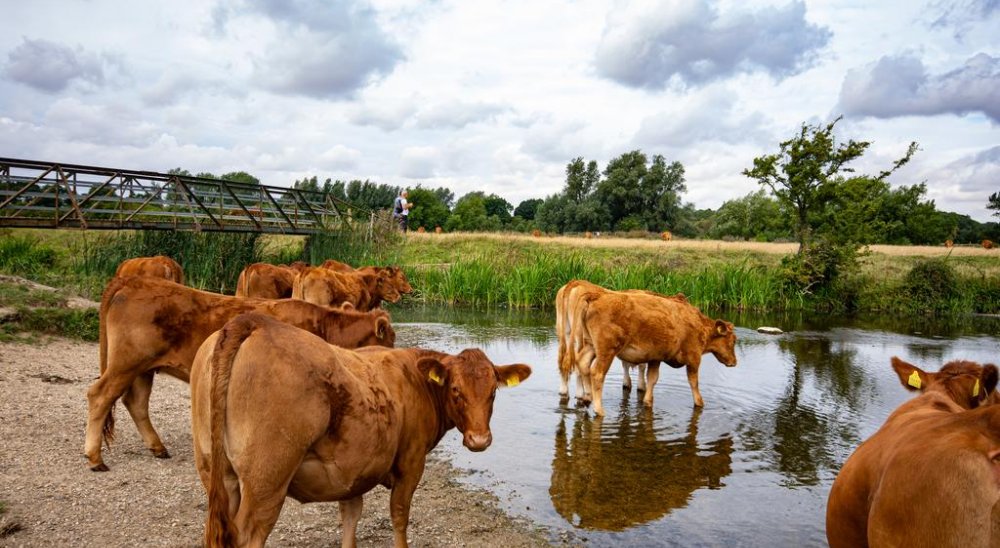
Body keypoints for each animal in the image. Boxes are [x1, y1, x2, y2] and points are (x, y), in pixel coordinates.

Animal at [84, 278, 394, 470]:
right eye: (389, 339)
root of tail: (134, 281)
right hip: (126, 362)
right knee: (100, 395)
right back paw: (95, 458)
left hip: (143, 368)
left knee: (135, 403)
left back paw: (157, 447)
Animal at [189, 312, 532, 548]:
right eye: (456, 390)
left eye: (493, 392)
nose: (479, 439)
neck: (414, 378)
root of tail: (255, 322)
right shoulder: (411, 462)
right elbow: (399, 516)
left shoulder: (353, 471)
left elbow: (351, 516)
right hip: (267, 480)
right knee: (248, 535)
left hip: (216, 472)